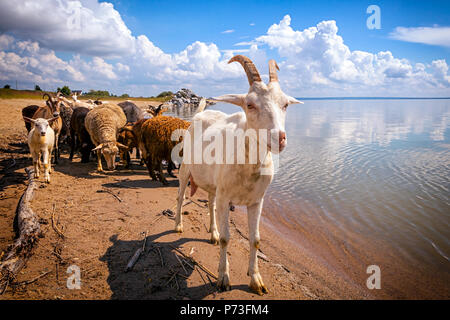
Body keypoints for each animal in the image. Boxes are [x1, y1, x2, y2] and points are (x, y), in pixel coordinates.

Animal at [174, 54, 304, 296]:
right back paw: (178, 225)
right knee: (179, 197)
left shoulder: (256, 201)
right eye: (250, 104)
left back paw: (213, 234)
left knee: (210, 203)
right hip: (186, 167)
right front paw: (223, 278)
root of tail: (200, 113)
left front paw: (256, 280)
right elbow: (228, 239)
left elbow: (255, 240)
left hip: (214, 184)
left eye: (285, 104)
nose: (279, 138)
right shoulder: (227, 197)